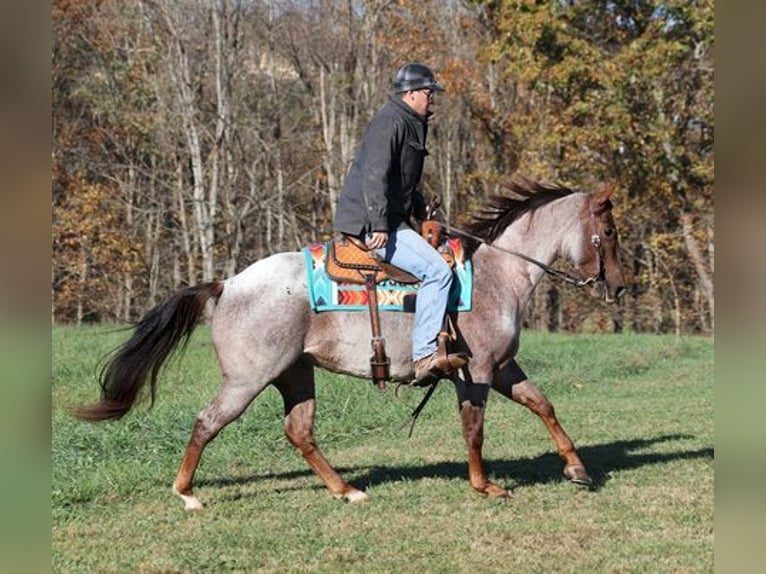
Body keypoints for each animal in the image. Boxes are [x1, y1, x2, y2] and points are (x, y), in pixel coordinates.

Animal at [72, 178, 628, 510]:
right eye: (609, 232)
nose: (620, 287)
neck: (498, 275)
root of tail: (227, 285)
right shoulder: (479, 371)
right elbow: (474, 429)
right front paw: (485, 484)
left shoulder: (505, 367)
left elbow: (544, 404)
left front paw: (577, 467)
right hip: (248, 379)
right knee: (209, 422)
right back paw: (186, 493)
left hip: (295, 374)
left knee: (299, 431)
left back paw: (346, 489)